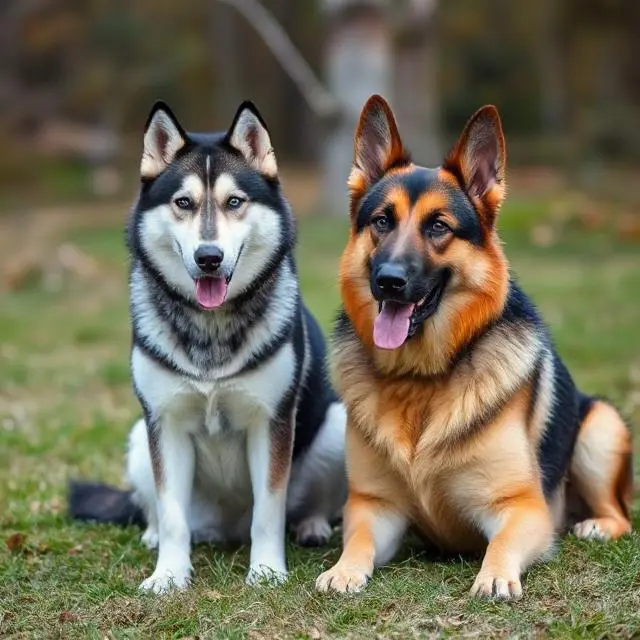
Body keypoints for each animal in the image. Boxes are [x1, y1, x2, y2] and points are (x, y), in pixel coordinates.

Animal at [69, 100, 344, 596]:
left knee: (309, 505)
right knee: (157, 509)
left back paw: (312, 525)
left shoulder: (272, 422)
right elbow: (172, 514)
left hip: (335, 424)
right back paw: (151, 533)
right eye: (183, 203)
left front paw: (266, 571)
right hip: (139, 437)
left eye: (235, 202)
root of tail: (225, 528)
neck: (210, 327)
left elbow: (268, 511)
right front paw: (168, 574)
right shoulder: (165, 423)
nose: (209, 257)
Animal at [316, 96, 632, 600]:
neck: (422, 378)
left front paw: (496, 574)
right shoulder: (373, 506)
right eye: (382, 221)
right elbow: (358, 541)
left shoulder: (522, 508)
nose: (388, 280)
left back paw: (596, 525)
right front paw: (343, 570)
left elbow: (500, 542)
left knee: (620, 513)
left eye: (438, 227)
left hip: (600, 428)